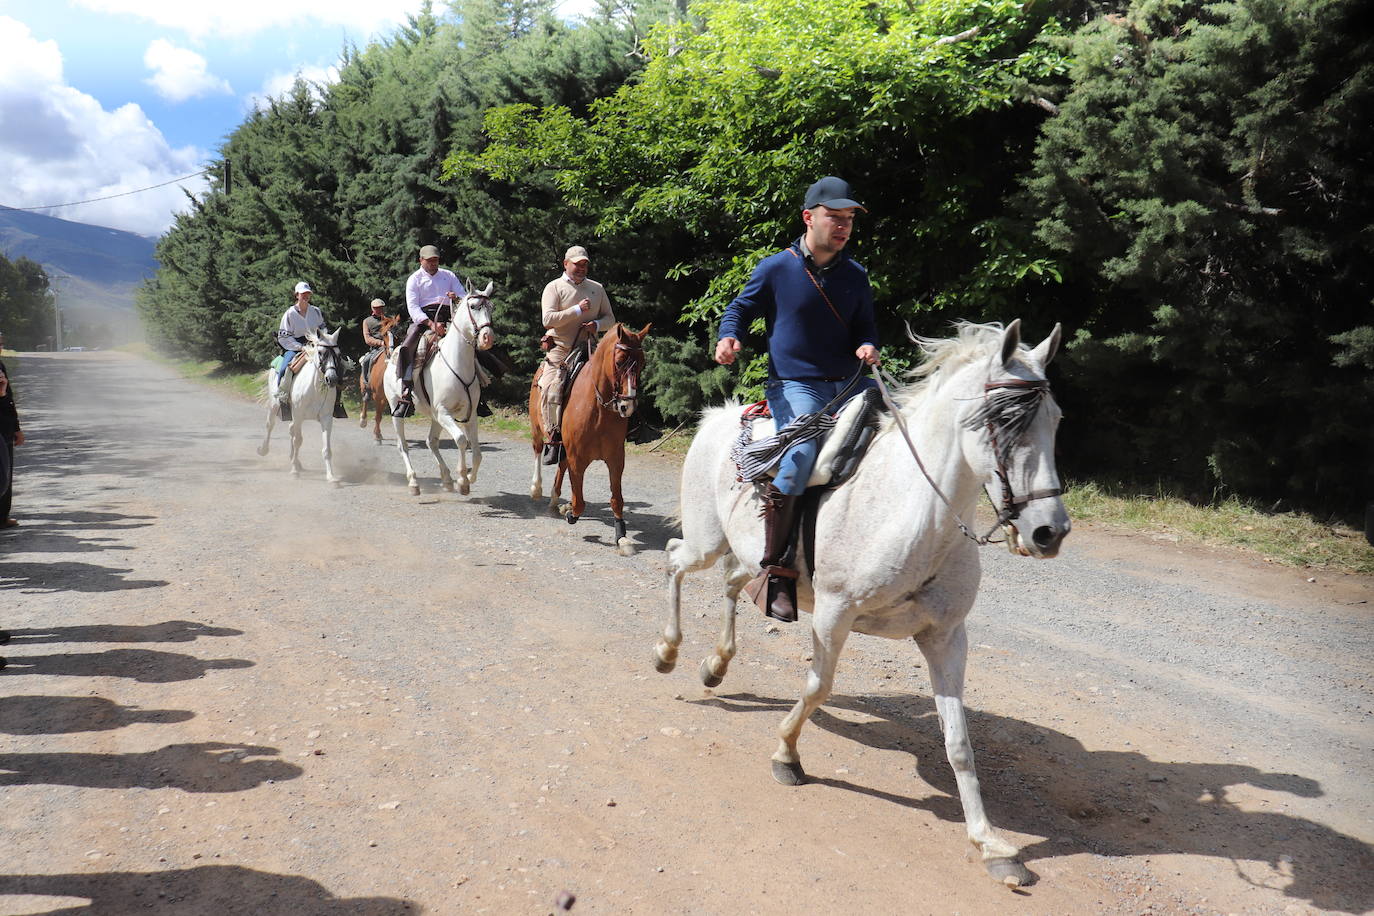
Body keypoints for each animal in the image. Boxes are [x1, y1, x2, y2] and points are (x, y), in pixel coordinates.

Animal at [258, 329, 346, 486]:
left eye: (339, 353)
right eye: (320, 352)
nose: (332, 379)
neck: (315, 388)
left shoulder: (326, 418)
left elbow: (326, 449)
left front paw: (331, 477)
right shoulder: (298, 415)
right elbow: (298, 441)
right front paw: (294, 472)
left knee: (291, 430)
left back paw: (296, 461)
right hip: (274, 406)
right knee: (270, 425)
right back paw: (264, 450)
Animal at [357, 315, 401, 444]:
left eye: (399, 332)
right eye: (385, 333)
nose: (392, 352)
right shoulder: (377, 395)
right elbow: (378, 415)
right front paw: (377, 436)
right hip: (365, 388)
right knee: (365, 400)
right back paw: (363, 421)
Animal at [384, 284, 497, 494]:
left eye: (491, 307)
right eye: (474, 306)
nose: (488, 338)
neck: (457, 363)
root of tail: (390, 359)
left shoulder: (470, 415)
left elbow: (477, 453)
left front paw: (469, 477)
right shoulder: (444, 412)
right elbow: (461, 440)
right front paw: (462, 479)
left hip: (434, 416)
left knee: (431, 441)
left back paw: (445, 478)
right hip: (398, 409)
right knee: (403, 445)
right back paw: (414, 482)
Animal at [527, 321, 651, 552]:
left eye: (642, 364)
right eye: (619, 362)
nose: (627, 406)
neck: (598, 409)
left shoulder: (615, 459)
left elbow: (616, 499)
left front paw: (621, 536)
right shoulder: (578, 459)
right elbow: (580, 502)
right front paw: (570, 512)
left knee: (561, 466)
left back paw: (555, 500)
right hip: (537, 429)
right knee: (539, 451)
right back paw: (537, 489)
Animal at [654, 322, 1071, 889]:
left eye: (1056, 419)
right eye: (1005, 421)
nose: (1049, 531)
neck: (915, 515)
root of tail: (721, 417)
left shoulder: (946, 637)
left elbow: (959, 742)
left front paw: (991, 845)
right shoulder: (834, 615)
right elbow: (817, 688)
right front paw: (786, 755)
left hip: (743, 556)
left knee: (731, 584)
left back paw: (715, 665)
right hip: (705, 540)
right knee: (675, 561)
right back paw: (668, 651)